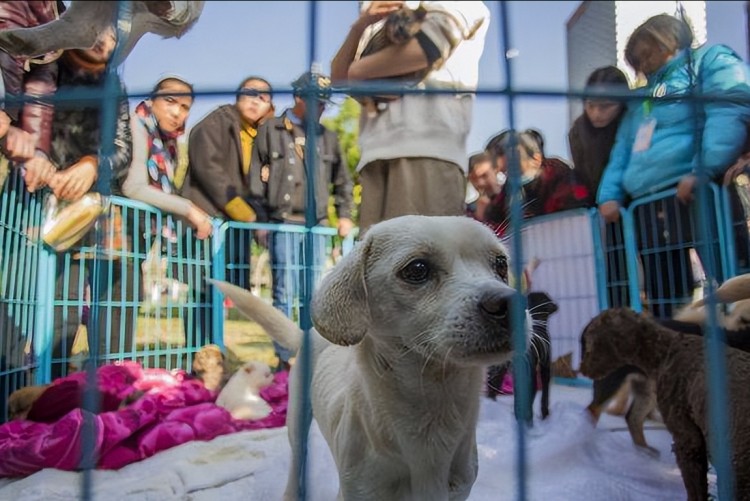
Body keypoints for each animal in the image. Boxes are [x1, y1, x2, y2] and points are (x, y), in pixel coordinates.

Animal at [210, 215, 528, 500]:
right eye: (417, 269)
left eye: (501, 264)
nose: (511, 303)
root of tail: (306, 335)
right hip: (297, 423)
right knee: (296, 464)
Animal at [488, 292, 560, 424]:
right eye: (548, 299)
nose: (556, 305)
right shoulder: (545, 364)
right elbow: (545, 392)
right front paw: (545, 414)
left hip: (499, 369)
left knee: (494, 385)